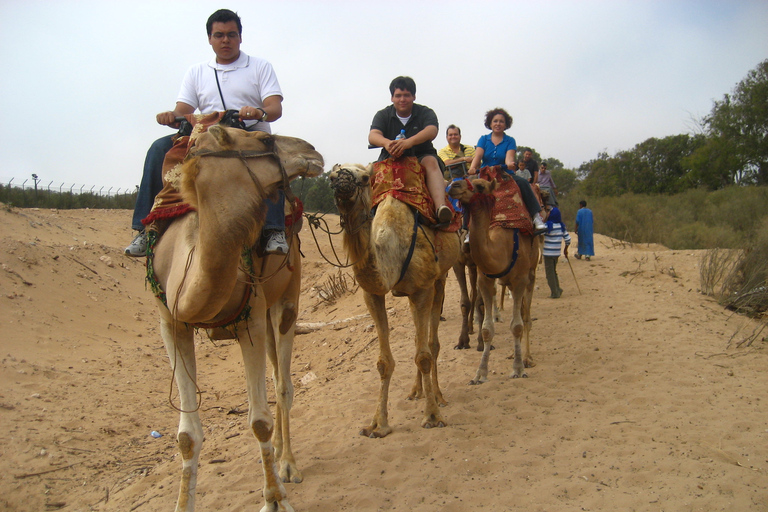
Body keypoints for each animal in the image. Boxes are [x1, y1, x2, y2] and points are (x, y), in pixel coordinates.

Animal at [148, 125, 322, 512]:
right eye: (264, 140)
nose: (313, 151)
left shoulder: (250, 320)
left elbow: (259, 421)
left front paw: (274, 500)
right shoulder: (172, 324)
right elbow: (186, 436)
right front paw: (183, 504)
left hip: (287, 299)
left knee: (283, 385)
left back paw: (288, 465)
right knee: (276, 379)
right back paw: (277, 454)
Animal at [328, 162, 460, 438]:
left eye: (364, 178)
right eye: (332, 176)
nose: (342, 181)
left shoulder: (422, 288)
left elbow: (424, 355)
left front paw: (432, 417)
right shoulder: (373, 294)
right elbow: (383, 362)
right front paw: (378, 424)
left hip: (440, 278)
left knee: (432, 343)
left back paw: (438, 396)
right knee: (418, 341)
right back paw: (416, 391)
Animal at [448, 178, 536, 382]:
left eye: (480, 186)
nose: (453, 185)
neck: (501, 249)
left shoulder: (519, 281)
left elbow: (517, 325)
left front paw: (518, 369)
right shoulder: (485, 280)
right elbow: (487, 327)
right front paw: (480, 373)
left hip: (531, 274)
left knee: (526, 317)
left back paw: (527, 358)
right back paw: (512, 353)